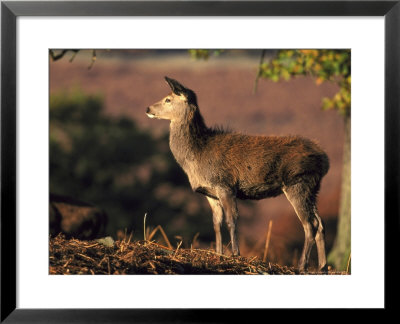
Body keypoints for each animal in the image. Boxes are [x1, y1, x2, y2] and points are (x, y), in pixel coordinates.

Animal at [145, 76, 330, 270]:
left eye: (168, 99)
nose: (148, 108)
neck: (196, 157)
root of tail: (325, 159)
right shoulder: (210, 193)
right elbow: (216, 223)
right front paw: (218, 253)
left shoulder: (225, 184)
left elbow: (231, 220)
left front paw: (235, 254)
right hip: (313, 188)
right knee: (320, 223)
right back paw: (323, 267)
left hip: (298, 182)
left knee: (310, 224)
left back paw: (302, 266)